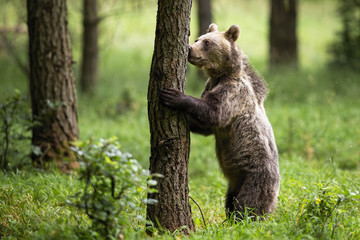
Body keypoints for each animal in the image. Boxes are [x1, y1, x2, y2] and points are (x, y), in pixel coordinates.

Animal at [159, 23, 280, 219]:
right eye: (197, 39)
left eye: (207, 42)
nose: (189, 48)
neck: (221, 75)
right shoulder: (210, 85)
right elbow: (206, 126)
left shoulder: (233, 93)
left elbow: (214, 113)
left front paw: (174, 96)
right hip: (234, 183)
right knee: (230, 200)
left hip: (256, 175)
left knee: (249, 203)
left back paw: (246, 218)